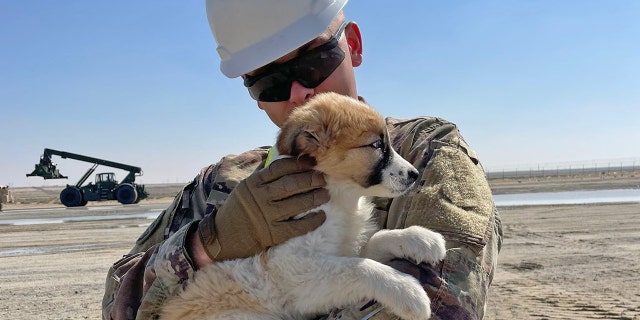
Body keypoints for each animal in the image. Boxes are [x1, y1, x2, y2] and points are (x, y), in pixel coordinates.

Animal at [161, 92, 444, 320]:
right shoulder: (295, 271)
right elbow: (359, 267)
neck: (340, 199)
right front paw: (408, 291)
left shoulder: (343, 248)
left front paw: (421, 239)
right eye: (376, 145)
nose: (414, 174)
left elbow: (376, 241)